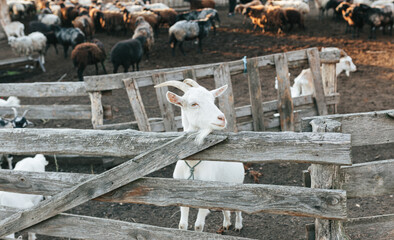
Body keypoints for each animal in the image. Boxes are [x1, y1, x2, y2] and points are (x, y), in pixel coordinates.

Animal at [155, 79, 245, 232]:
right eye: (193, 104)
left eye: (213, 100)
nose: (221, 118)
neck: (192, 165)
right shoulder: (181, 194)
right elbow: (182, 225)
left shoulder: (205, 196)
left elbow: (198, 226)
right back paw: (227, 223)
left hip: (237, 182)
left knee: (238, 208)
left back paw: (238, 225)